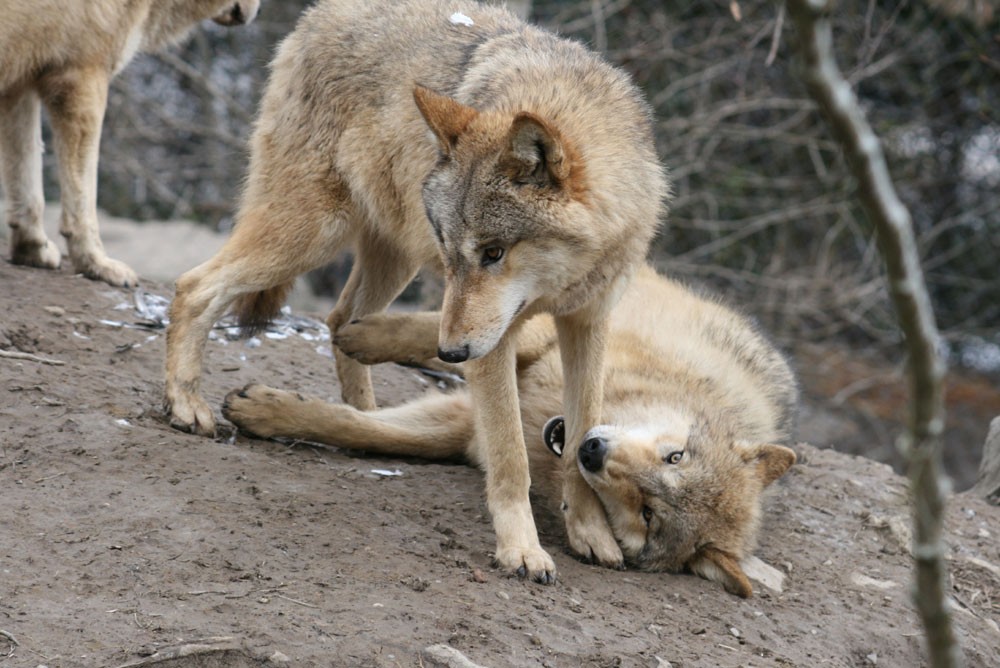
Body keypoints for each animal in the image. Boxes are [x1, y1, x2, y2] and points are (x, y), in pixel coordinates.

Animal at [0, 0, 262, 288]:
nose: (255, 13)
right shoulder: (83, 79)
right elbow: (84, 199)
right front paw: (97, 265)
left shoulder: (19, 84)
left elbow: (27, 182)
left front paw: (32, 252)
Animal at [166, 0, 672, 580]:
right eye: (455, 253)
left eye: (493, 252)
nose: (449, 353)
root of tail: (318, 14)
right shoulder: (493, 339)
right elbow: (509, 455)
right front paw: (522, 549)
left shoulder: (589, 320)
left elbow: (580, 435)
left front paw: (589, 532)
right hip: (313, 233)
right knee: (195, 285)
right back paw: (185, 404)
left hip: (393, 255)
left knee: (339, 322)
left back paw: (355, 418)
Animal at [223, 266, 800, 600]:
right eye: (674, 456)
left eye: (648, 515)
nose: (591, 451)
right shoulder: (535, 342)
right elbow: (444, 344)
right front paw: (370, 339)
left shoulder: (462, 430)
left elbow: (368, 431)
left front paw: (265, 412)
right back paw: (363, 329)